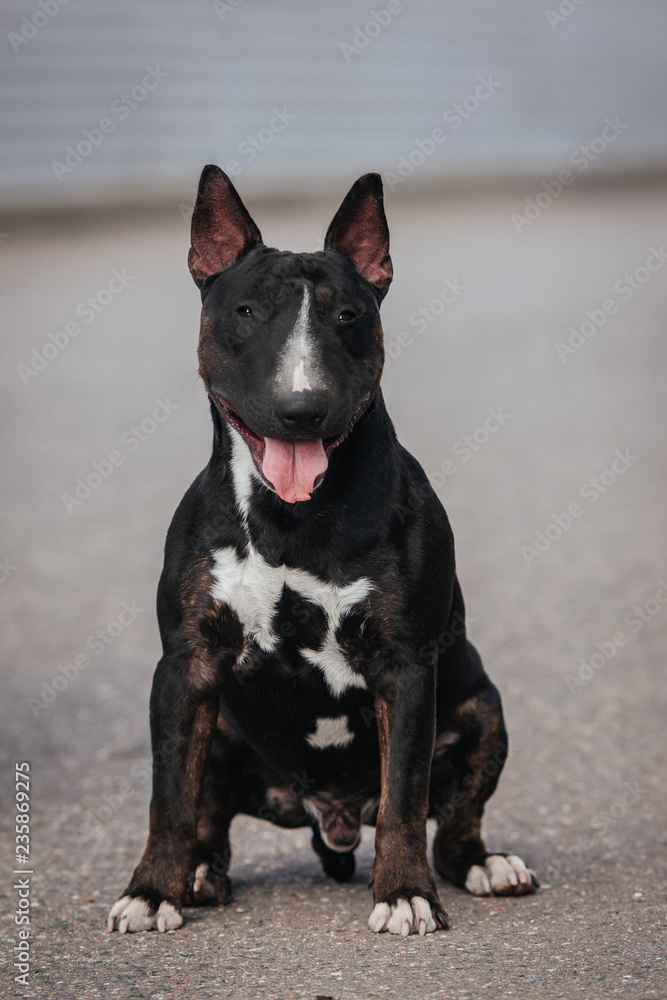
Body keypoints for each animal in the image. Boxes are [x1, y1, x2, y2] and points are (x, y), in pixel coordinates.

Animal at [108, 166, 536, 936]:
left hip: (482, 710)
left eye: (348, 316)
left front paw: (404, 893)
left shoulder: (405, 666)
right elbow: (169, 796)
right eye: (247, 311)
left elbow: (403, 798)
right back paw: (197, 875)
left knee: (453, 825)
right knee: (207, 818)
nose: (301, 408)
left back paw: (488, 865)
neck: (291, 518)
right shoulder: (186, 666)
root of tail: (331, 818)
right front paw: (151, 891)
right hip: (224, 729)